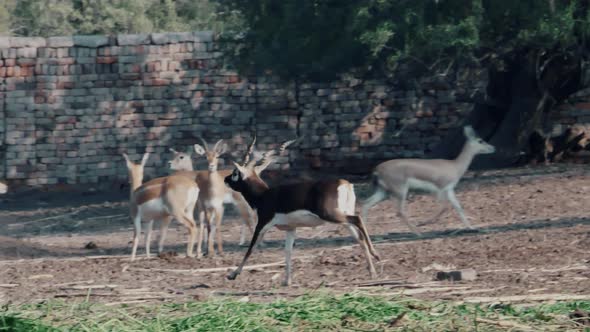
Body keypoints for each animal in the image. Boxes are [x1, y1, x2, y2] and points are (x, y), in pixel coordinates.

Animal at [224, 137, 382, 286]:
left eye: (235, 173)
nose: (225, 179)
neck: (263, 196)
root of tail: (344, 183)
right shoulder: (291, 229)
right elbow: (288, 251)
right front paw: (287, 281)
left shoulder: (262, 224)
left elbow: (251, 248)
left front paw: (232, 274)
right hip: (342, 218)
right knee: (359, 237)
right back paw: (372, 272)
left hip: (332, 215)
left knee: (358, 219)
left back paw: (376, 255)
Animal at [364, 125, 498, 233]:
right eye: (480, 140)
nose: (493, 148)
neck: (455, 166)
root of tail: (377, 169)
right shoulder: (440, 189)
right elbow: (444, 207)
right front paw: (423, 223)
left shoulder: (449, 189)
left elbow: (458, 206)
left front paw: (471, 227)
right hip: (400, 191)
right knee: (399, 211)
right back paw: (418, 232)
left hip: (382, 191)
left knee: (366, 203)